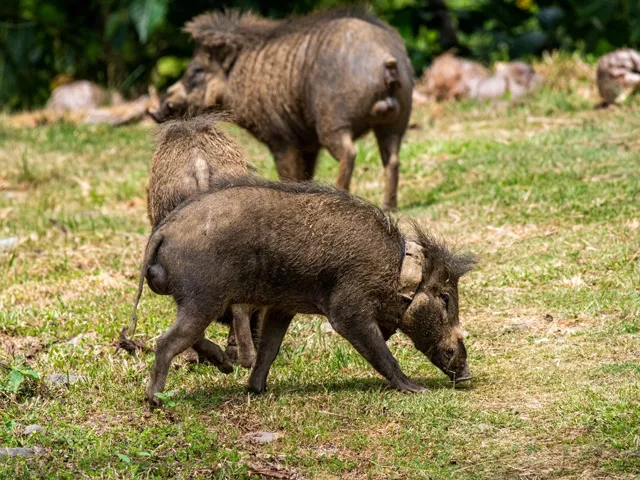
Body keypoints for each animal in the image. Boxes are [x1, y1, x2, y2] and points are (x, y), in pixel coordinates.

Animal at [132, 178, 476, 406]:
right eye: (445, 297)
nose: (467, 377)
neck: (394, 270)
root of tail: (162, 231)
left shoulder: (282, 308)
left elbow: (270, 349)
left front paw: (255, 390)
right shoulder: (347, 310)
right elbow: (382, 353)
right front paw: (417, 389)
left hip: (199, 301)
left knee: (185, 337)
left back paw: (225, 369)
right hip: (204, 297)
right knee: (167, 341)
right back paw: (155, 400)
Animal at [148, 7, 412, 210]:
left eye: (196, 70)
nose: (156, 111)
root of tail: (385, 61)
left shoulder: (280, 138)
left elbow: (289, 173)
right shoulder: (307, 142)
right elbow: (306, 173)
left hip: (334, 122)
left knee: (350, 153)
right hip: (396, 123)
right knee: (393, 160)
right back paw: (389, 206)